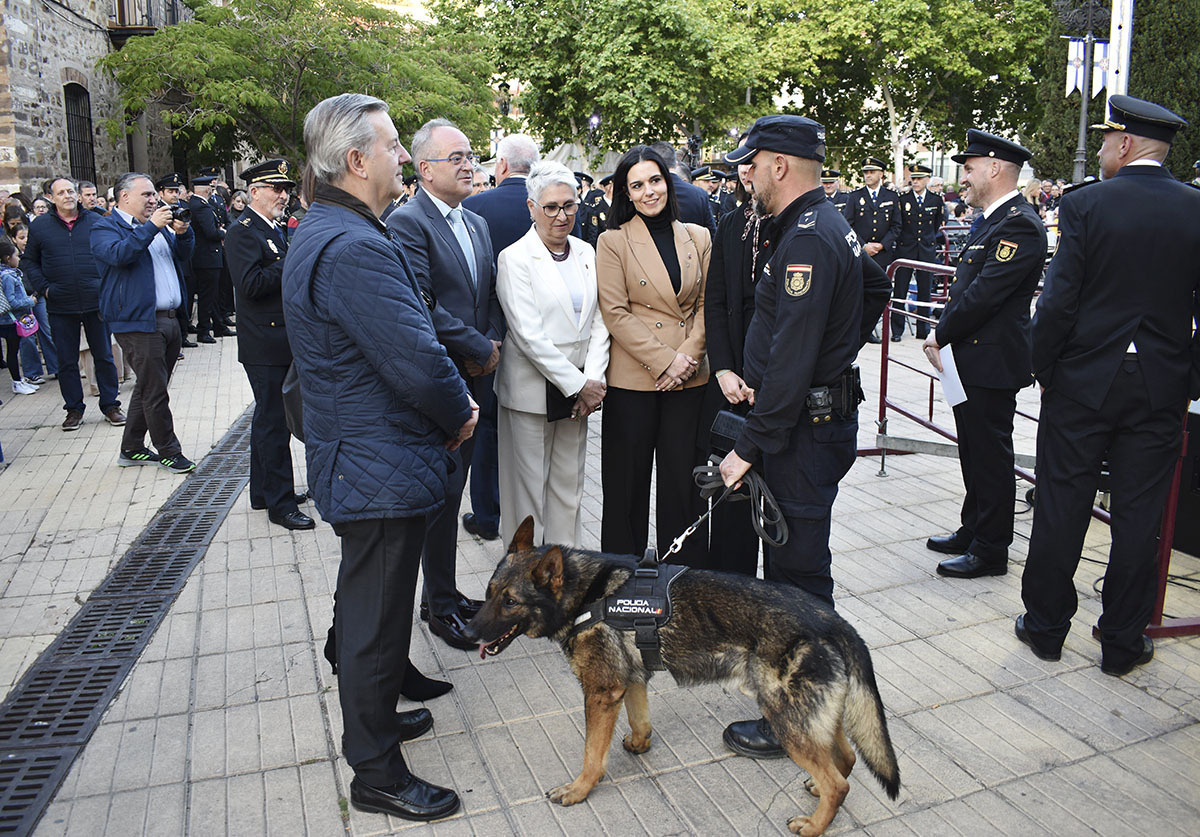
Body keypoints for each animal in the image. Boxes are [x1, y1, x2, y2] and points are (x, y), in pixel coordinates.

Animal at [465, 515, 902, 834]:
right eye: (488, 594)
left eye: (510, 602)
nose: (468, 633)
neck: (588, 593)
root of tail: (833, 621)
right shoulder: (631, 681)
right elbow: (640, 720)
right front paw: (639, 744)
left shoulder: (602, 693)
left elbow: (592, 755)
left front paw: (579, 790)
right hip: (811, 719)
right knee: (845, 758)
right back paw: (817, 794)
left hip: (786, 721)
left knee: (839, 782)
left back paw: (814, 825)